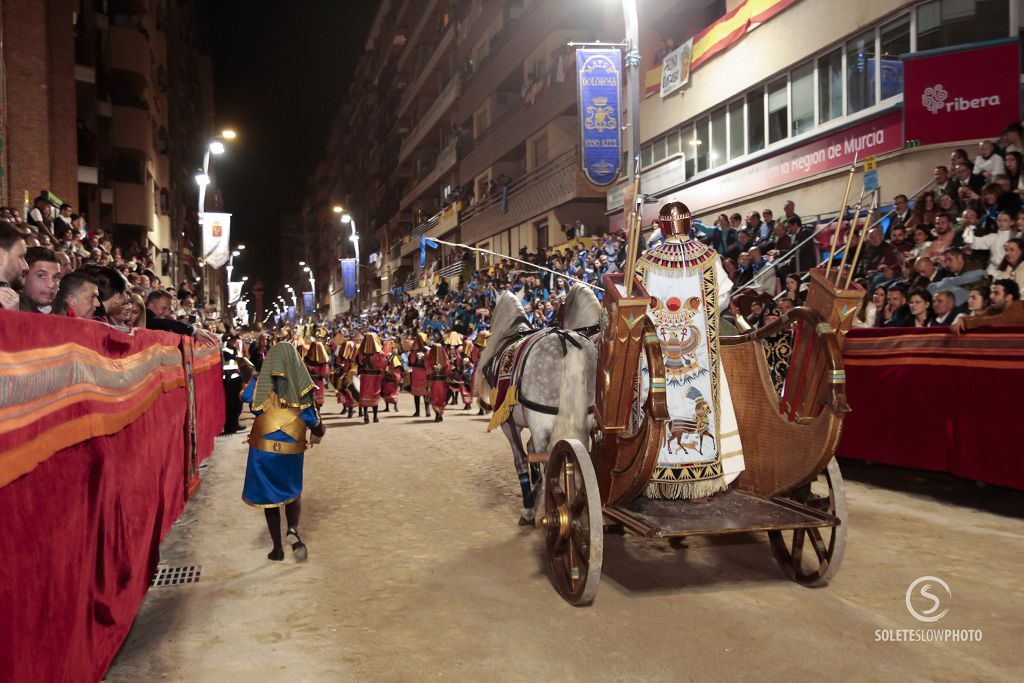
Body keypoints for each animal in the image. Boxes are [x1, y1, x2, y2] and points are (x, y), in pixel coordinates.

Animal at [475, 286, 602, 528]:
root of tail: (568, 343)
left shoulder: (510, 423)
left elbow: (522, 461)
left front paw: (529, 509)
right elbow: (531, 453)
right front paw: (536, 491)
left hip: (541, 424)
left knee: (549, 460)